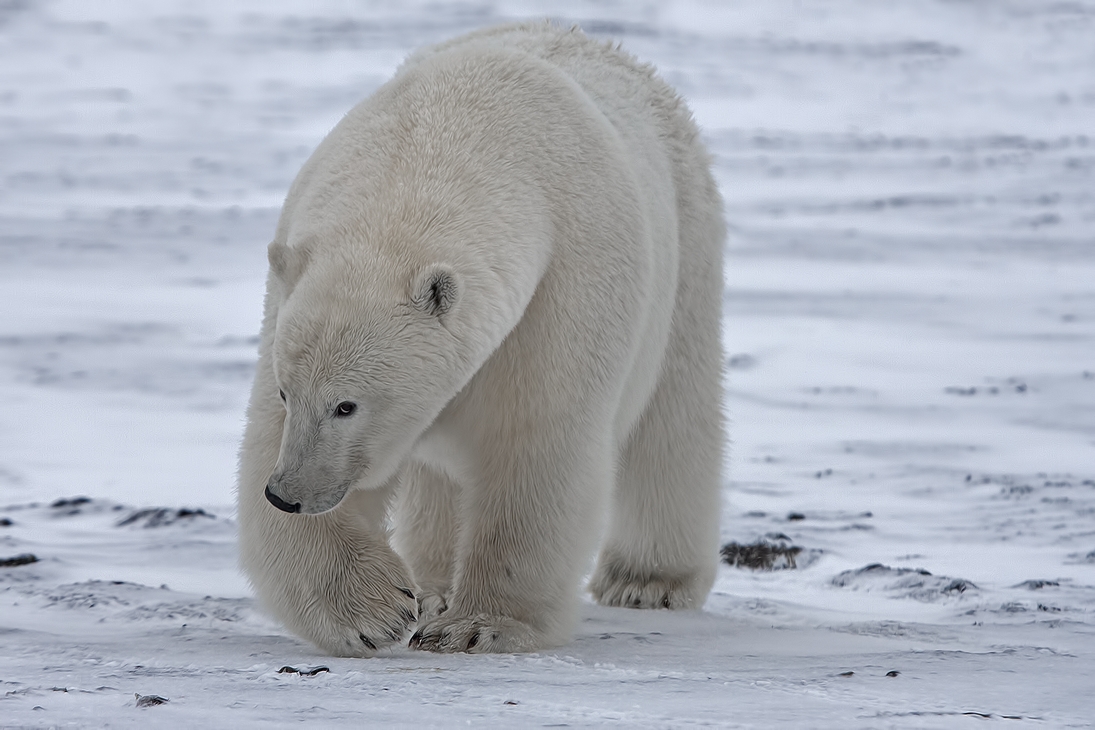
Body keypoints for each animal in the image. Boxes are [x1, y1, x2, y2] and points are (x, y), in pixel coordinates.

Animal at [236, 21, 725, 657]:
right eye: (285, 392)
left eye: (347, 405)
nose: (287, 494)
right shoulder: (295, 280)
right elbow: (265, 445)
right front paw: (376, 608)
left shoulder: (563, 282)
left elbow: (536, 443)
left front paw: (477, 625)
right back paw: (434, 583)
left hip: (687, 250)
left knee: (672, 419)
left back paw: (646, 580)